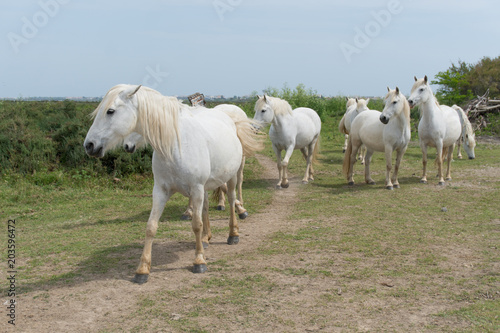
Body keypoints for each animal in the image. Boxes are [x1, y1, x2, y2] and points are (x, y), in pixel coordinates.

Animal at [84, 83, 264, 282]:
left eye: (110, 111)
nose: (89, 145)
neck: (174, 145)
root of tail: (229, 119)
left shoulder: (196, 188)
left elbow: (196, 224)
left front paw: (199, 261)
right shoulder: (161, 191)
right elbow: (151, 226)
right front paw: (142, 269)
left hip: (230, 177)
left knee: (231, 200)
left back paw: (233, 234)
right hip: (204, 187)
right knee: (206, 208)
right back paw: (206, 239)